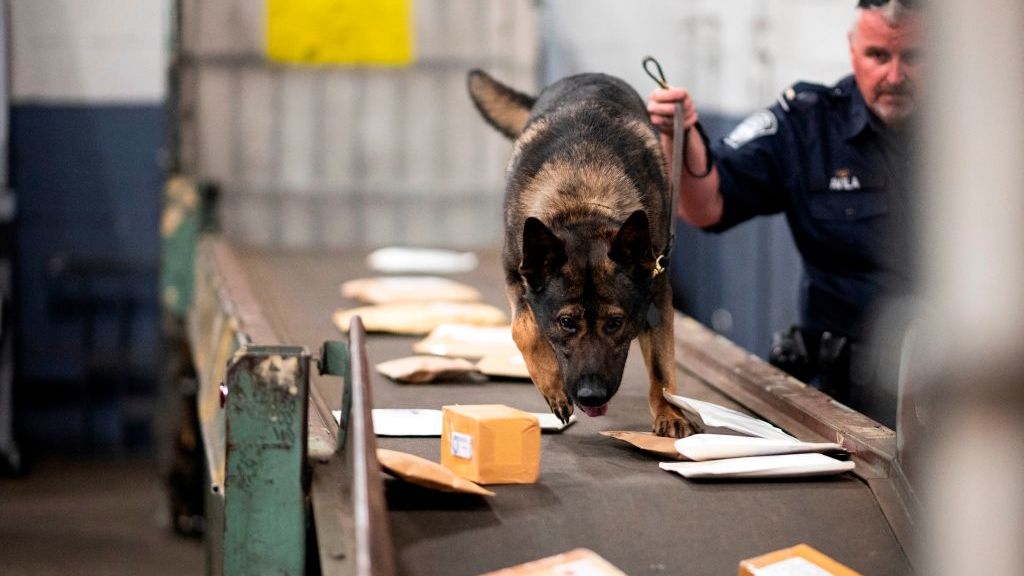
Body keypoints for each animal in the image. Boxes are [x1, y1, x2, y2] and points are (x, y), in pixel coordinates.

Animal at [466, 69, 692, 434]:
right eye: (567, 322)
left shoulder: (657, 291)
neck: (582, 201)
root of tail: (590, 74)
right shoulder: (515, 276)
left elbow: (661, 368)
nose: (591, 396)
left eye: (615, 323)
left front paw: (671, 414)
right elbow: (524, 330)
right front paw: (554, 388)